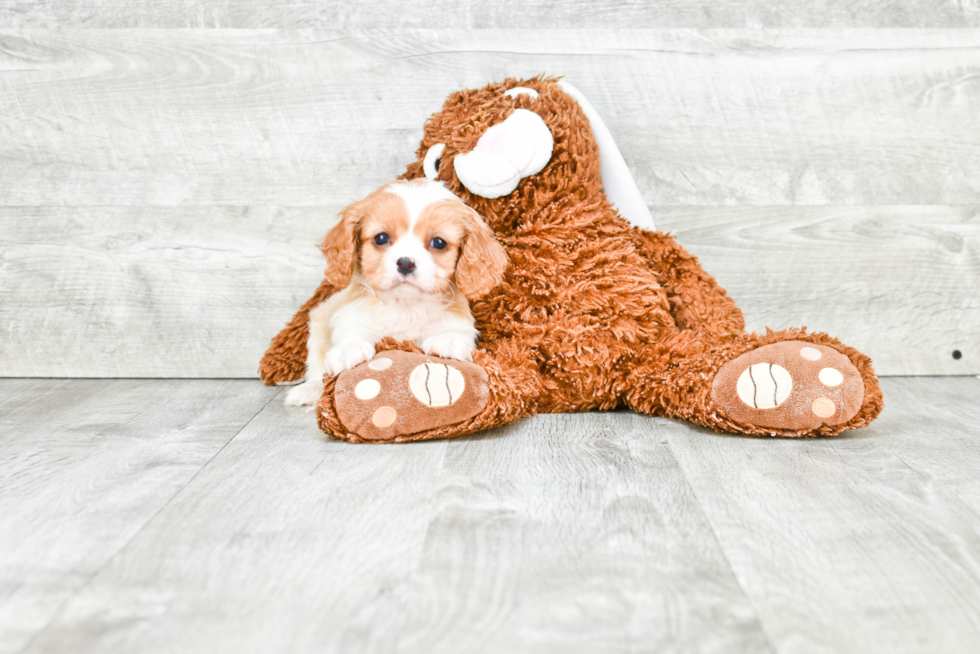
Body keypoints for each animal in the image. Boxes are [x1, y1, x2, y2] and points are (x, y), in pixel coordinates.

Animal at [284, 178, 510, 404]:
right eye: (381, 238)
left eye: (438, 242)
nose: (406, 263)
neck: (405, 305)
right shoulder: (352, 315)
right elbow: (353, 331)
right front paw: (350, 349)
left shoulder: (457, 321)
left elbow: (453, 331)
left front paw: (448, 341)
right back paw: (310, 389)